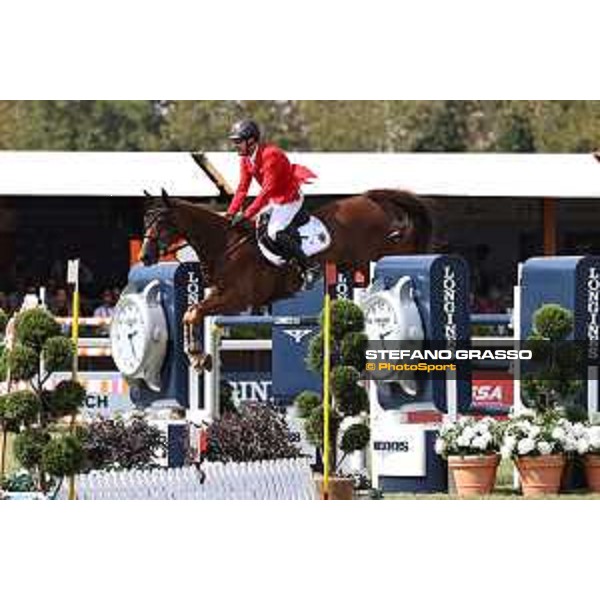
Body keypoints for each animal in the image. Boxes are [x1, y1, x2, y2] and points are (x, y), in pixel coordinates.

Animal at [141, 189, 432, 370]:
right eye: (146, 221)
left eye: (162, 222)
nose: (145, 257)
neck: (225, 245)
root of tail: (370, 199)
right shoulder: (219, 294)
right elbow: (191, 311)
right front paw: (198, 357)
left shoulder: (237, 299)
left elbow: (194, 312)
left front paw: (196, 355)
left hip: (377, 255)